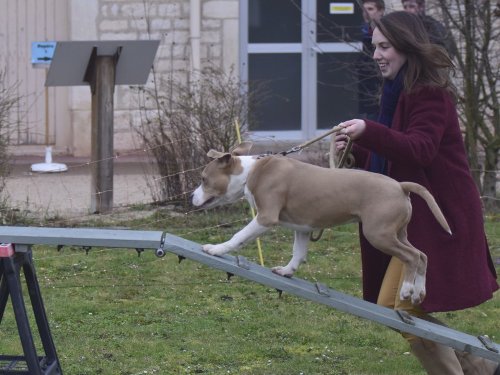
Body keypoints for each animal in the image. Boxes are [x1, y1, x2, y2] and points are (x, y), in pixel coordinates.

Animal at [190, 142, 450, 304]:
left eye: (203, 179)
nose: (191, 196)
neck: (251, 172)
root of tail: (400, 185)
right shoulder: (302, 227)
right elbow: (298, 252)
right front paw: (286, 271)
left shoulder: (265, 217)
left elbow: (239, 236)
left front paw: (216, 249)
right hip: (397, 233)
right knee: (422, 255)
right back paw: (419, 292)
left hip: (379, 234)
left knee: (411, 257)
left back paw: (406, 290)